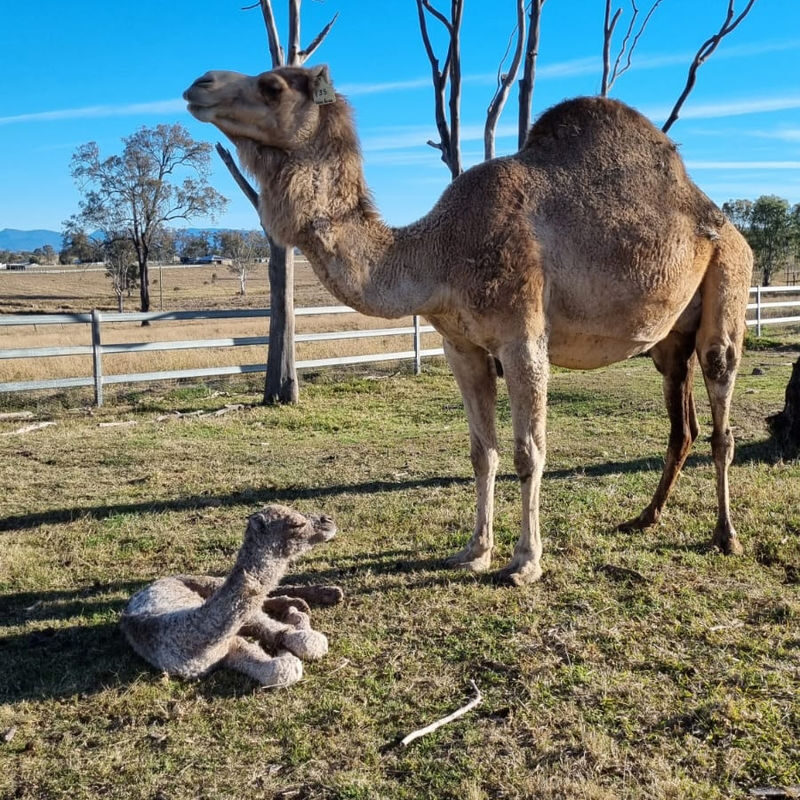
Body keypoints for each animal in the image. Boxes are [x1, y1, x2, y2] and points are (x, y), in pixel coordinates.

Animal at [120, 505, 337, 687]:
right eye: (296, 523)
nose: (328, 520)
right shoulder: (225, 651)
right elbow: (282, 667)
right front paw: (285, 640)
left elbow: (303, 641)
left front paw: (293, 622)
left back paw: (325, 595)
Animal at [184, 65, 753, 585]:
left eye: (272, 86)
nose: (198, 84)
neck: (440, 252)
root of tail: (723, 222)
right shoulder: (462, 346)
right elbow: (482, 452)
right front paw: (474, 551)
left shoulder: (523, 339)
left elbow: (528, 453)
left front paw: (525, 562)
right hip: (670, 341)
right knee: (681, 425)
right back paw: (644, 518)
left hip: (728, 280)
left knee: (721, 412)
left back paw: (726, 536)